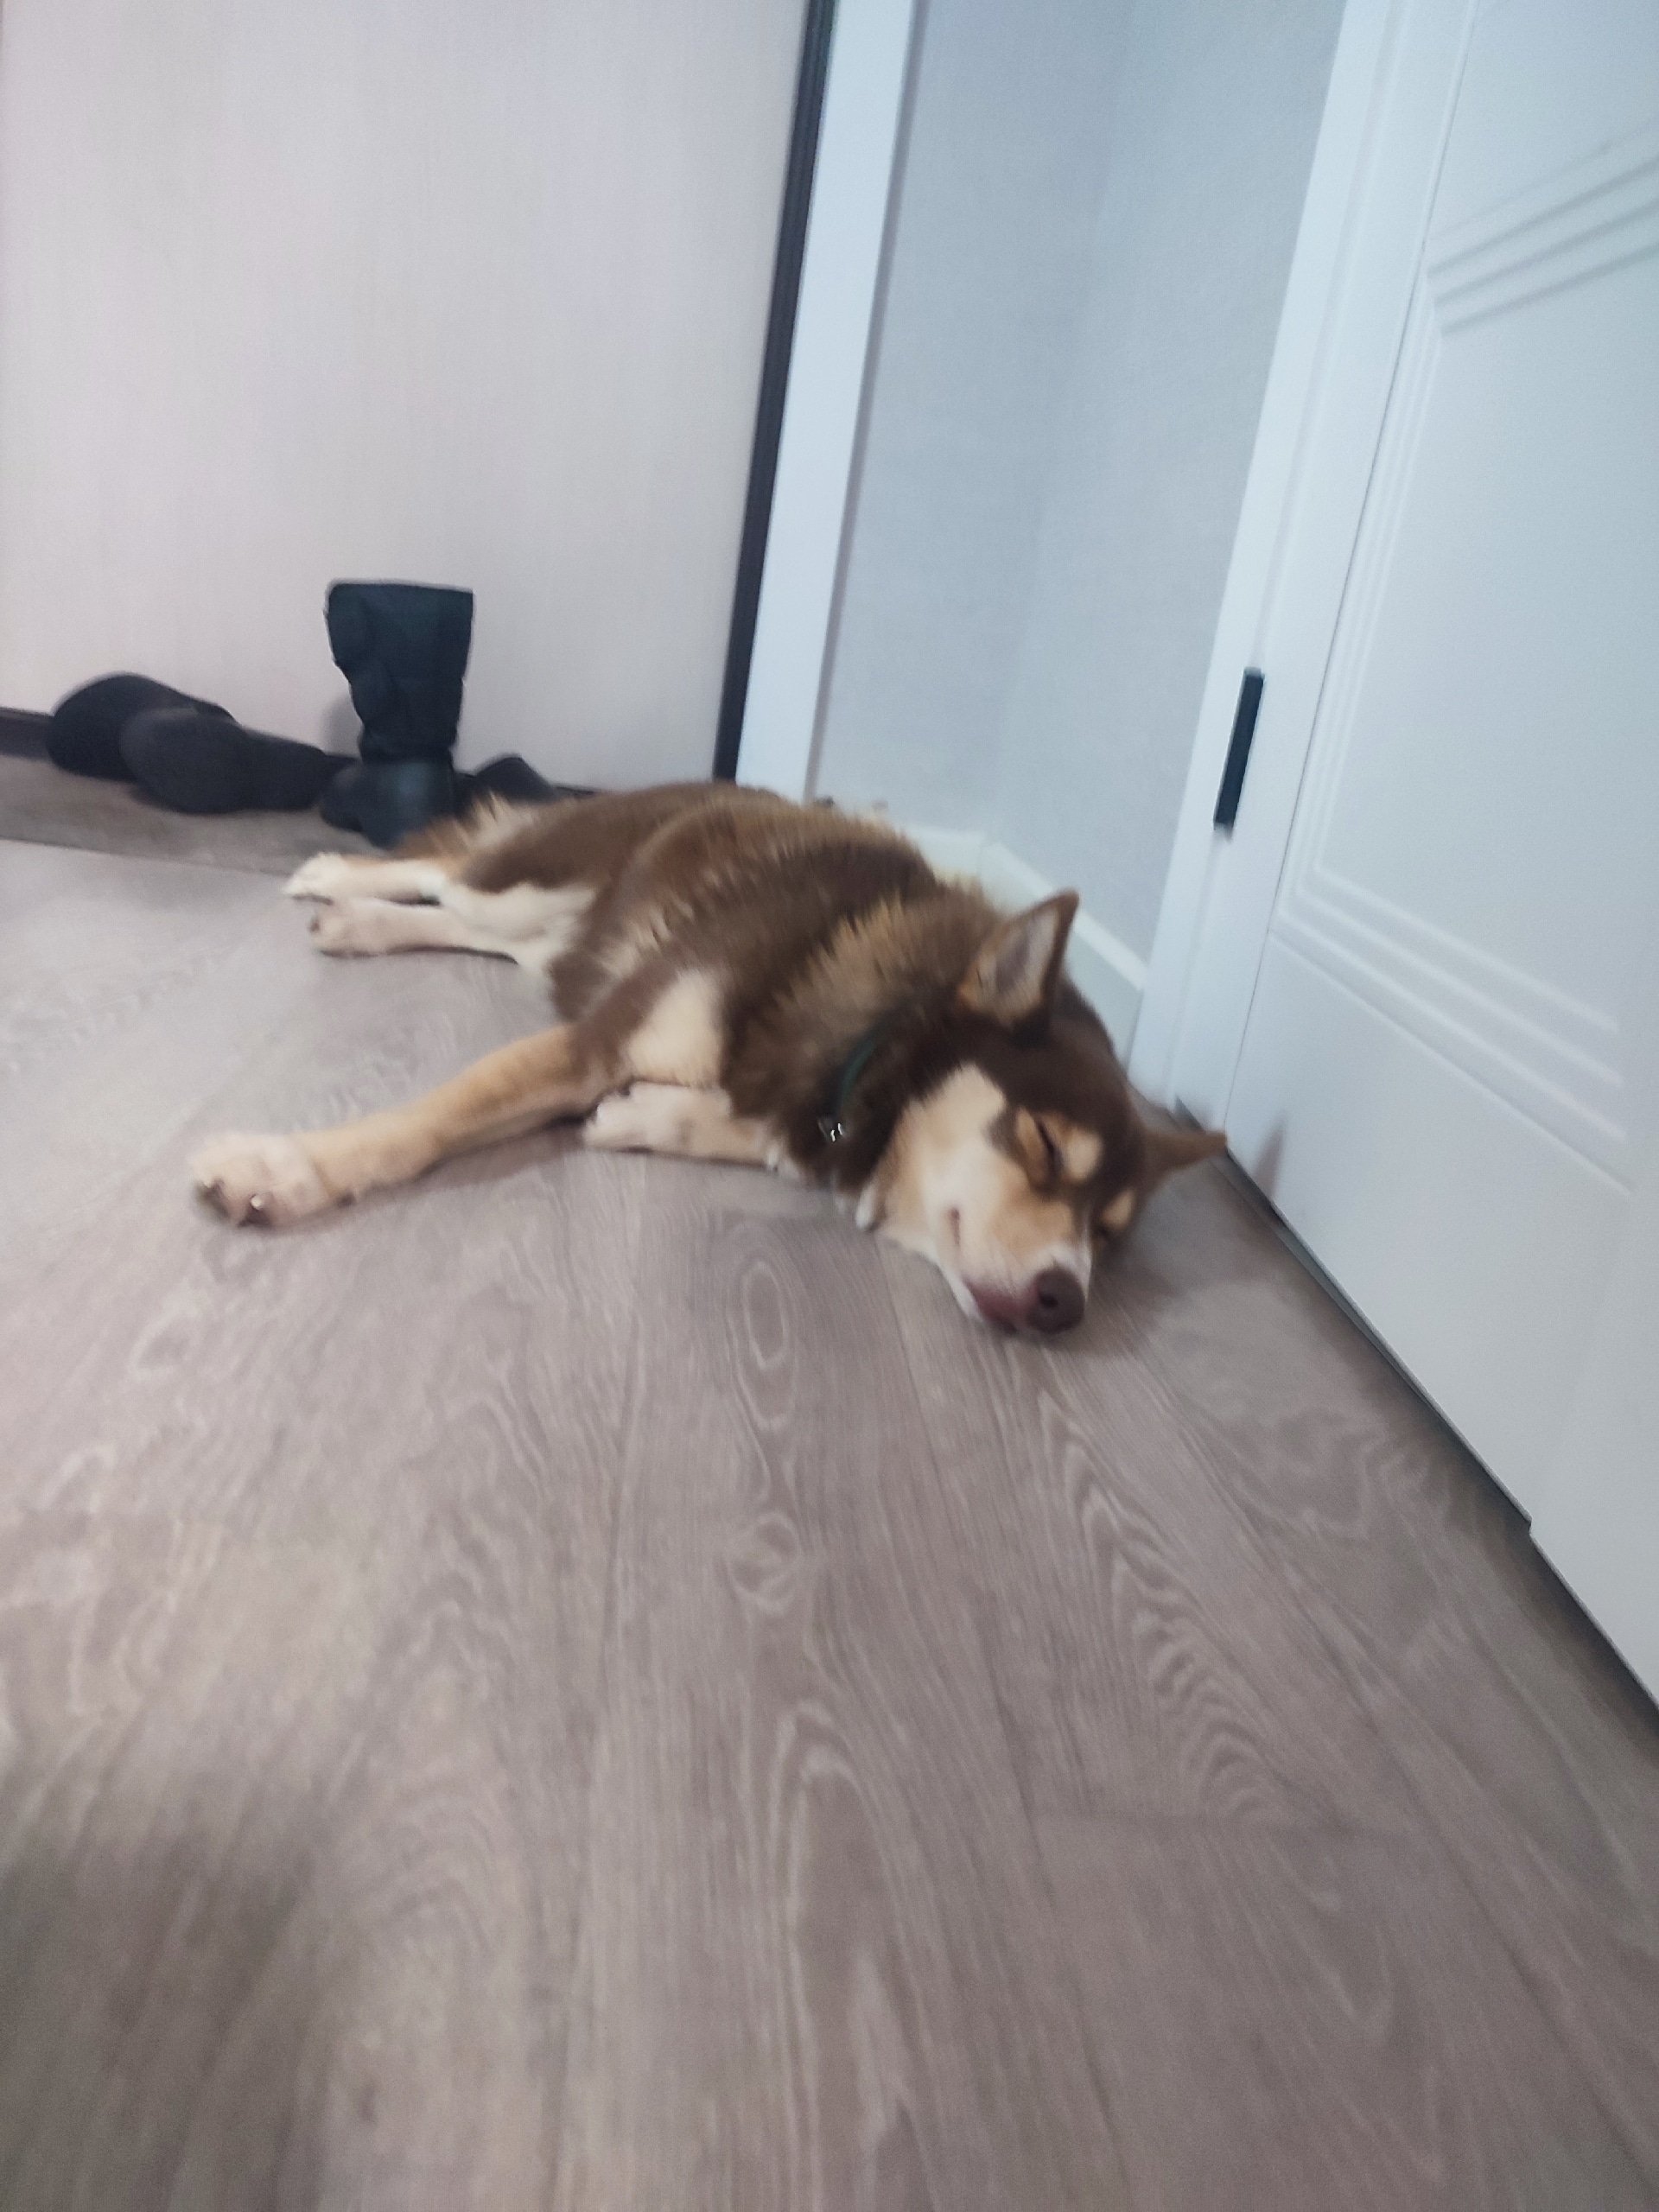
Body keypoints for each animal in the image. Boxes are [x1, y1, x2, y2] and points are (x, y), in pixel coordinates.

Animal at [190, 784, 1224, 1333]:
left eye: (1106, 1238)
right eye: (1044, 1147)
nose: (1065, 1301)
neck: (871, 1030)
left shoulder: (793, 1108)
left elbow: (746, 1128)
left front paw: (649, 1115)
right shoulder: (593, 1043)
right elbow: (425, 1120)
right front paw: (287, 1167)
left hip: (546, 935)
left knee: (470, 930)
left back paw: (361, 925)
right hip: (531, 882)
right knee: (444, 873)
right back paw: (337, 876)